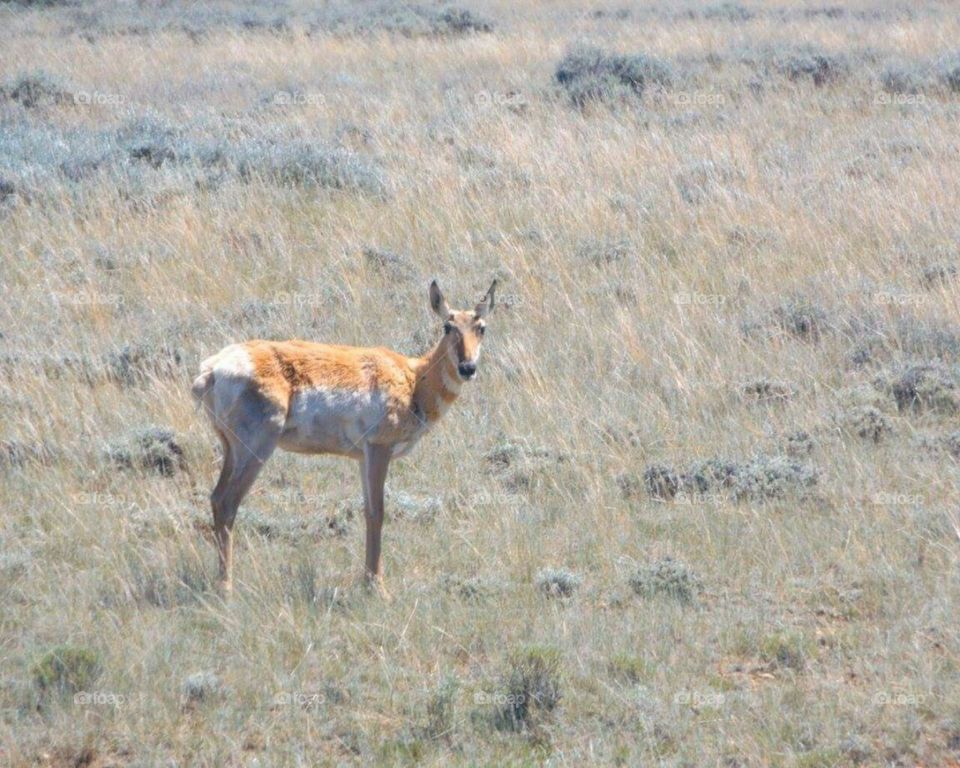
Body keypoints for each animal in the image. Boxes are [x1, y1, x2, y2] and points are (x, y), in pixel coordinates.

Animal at [191, 279, 496, 594]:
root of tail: (212, 369)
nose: (468, 368)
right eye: (448, 327)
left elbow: (367, 510)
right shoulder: (379, 449)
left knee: (216, 498)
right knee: (228, 503)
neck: (414, 378)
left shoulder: (363, 457)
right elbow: (378, 511)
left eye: (481, 327)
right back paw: (226, 586)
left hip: (231, 448)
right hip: (256, 449)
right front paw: (377, 587)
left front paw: (369, 580)